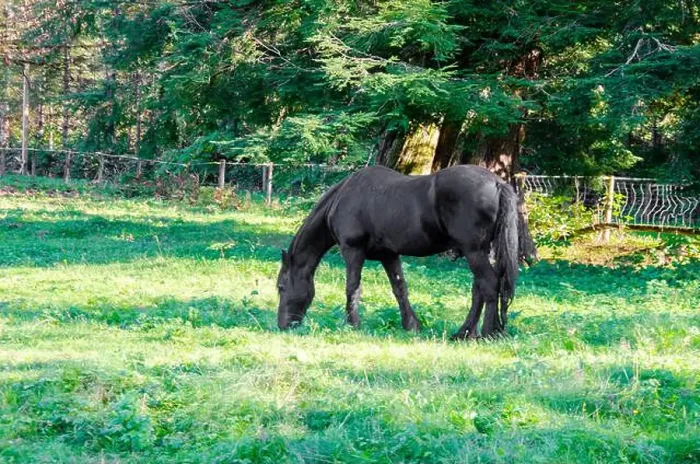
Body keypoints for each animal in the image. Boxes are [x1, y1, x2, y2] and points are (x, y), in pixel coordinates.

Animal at [276, 164, 525, 339]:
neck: (343, 197)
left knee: (489, 284)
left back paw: (488, 332)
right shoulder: (389, 255)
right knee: (480, 288)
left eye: (280, 287)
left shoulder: (352, 250)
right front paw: (411, 325)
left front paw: (352, 324)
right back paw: (465, 332)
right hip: (481, 251)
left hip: (473, 251)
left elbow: (352, 287)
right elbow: (400, 289)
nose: (282, 325)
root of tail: (496, 183)